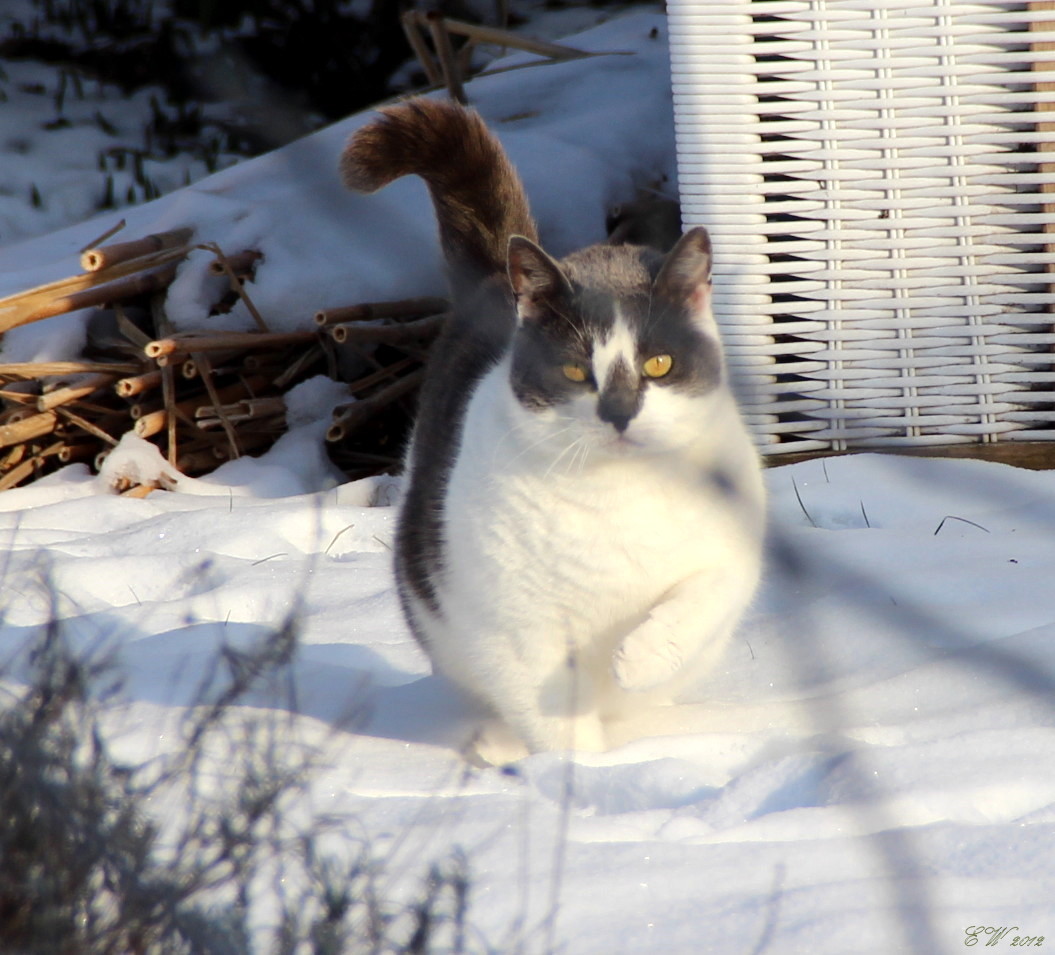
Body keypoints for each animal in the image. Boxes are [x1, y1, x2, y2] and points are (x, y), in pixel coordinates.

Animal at [341, 97, 763, 764]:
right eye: (574, 371)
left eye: (658, 364)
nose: (618, 413)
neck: (622, 499)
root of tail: (496, 279)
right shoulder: (515, 628)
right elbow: (556, 717)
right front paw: (587, 776)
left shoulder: (732, 544)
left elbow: (703, 594)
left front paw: (641, 657)